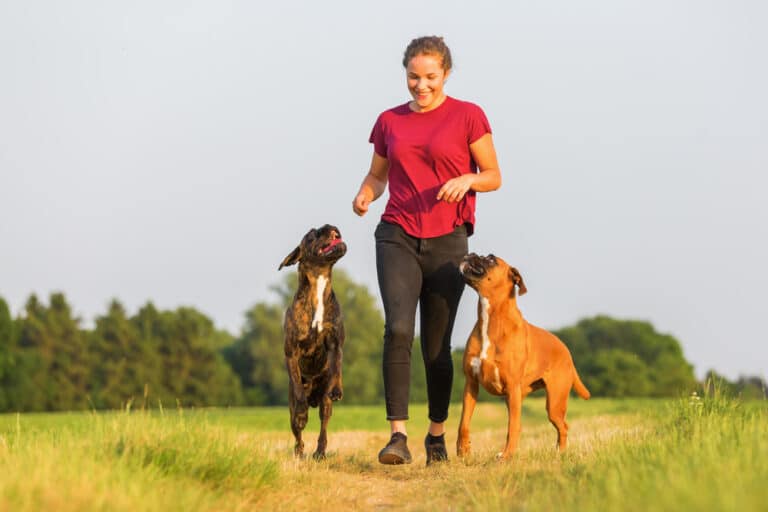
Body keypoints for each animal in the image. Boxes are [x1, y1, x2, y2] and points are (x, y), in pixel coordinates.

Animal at [278, 224, 346, 460]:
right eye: (311, 234)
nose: (329, 226)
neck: (319, 283)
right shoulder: (291, 353)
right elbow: (299, 394)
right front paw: (302, 412)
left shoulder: (335, 344)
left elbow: (337, 367)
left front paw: (338, 388)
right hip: (291, 407)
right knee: (297, 431)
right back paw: (299, 450)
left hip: (326, 403)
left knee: (324, 425)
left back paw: (320, 452)